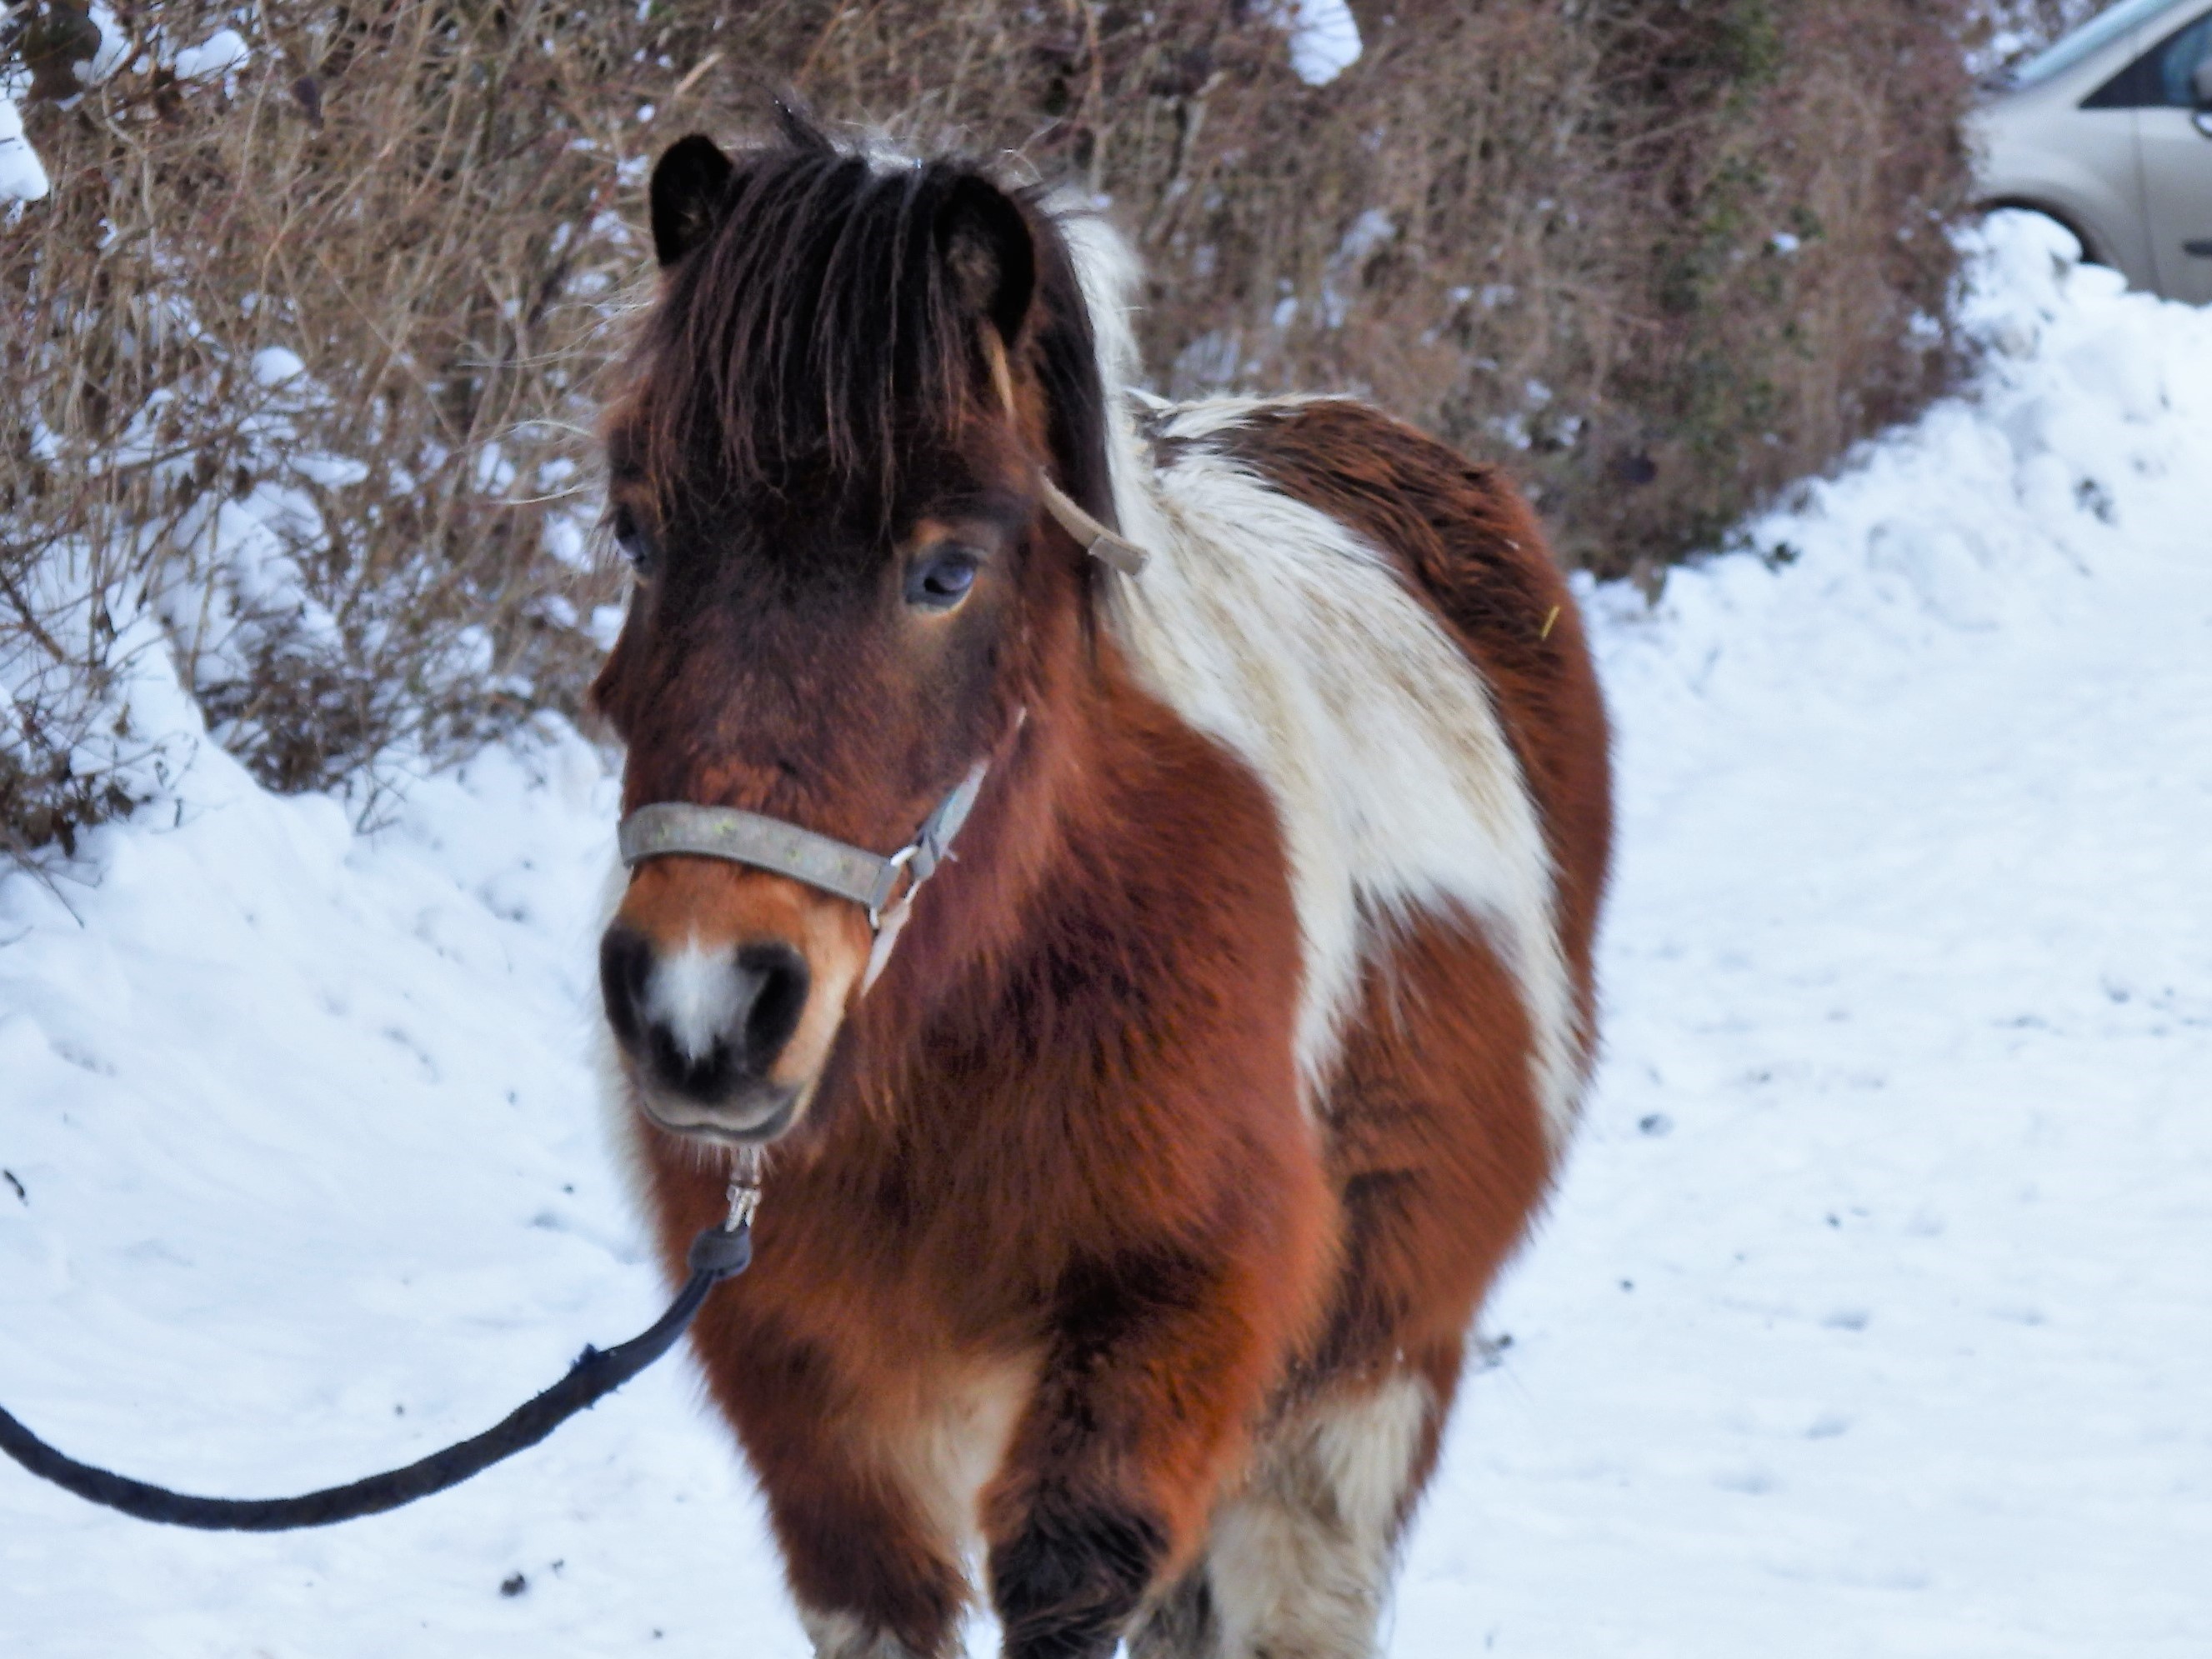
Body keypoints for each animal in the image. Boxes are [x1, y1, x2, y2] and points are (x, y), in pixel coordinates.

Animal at [588, 117, 1619, 1659]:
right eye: (637, 533)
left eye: (946, 570)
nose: (703, 1005)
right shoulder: (809, 1402)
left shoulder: (1176, 1330)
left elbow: (1074, 1577)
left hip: (1358, 1389)